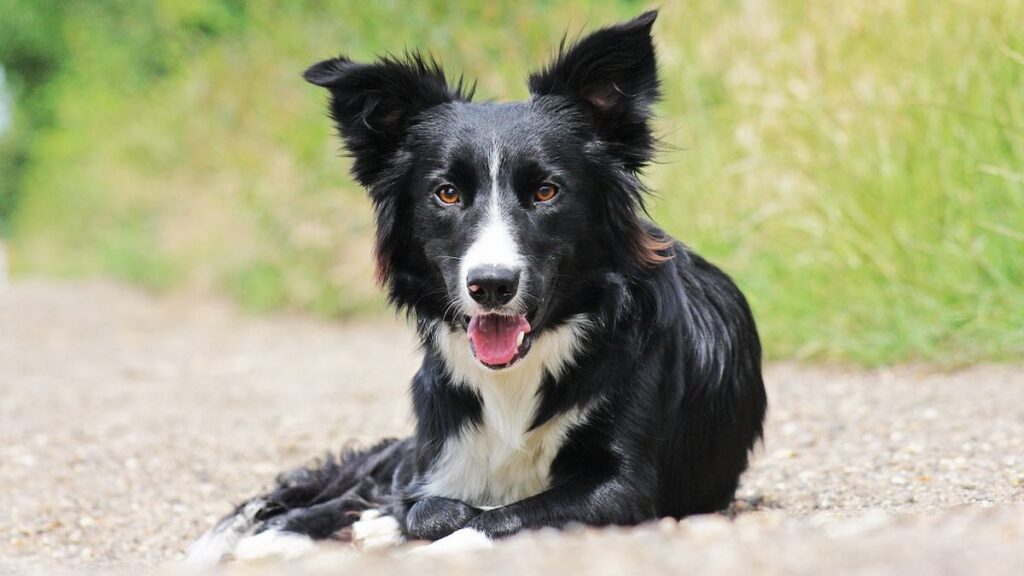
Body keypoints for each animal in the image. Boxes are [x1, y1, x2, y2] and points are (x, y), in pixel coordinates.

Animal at [184, 11, 765, 561]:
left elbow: (503, 513)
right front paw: (378, 522)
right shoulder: (440, 453)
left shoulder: (625, 486)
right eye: (446, 193)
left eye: (546, 191)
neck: (521, 371)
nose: (491, 285)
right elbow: (422, 503)